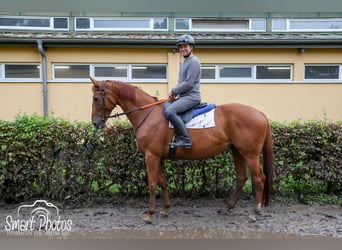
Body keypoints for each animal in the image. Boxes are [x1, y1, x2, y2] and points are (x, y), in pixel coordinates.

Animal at [89, 76, 274, 225]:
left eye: (96, 98)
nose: (96, 123)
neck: (148, 113)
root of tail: (259, 113)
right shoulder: (159, 157)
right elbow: (163, 182)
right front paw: (165, 209)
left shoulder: (151, 156)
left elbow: (152, 183)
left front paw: (149, 214)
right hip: (237, 151)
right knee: (241, 178)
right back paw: (228, 208)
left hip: (250, 154)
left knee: (259, 179)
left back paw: (254, 212)